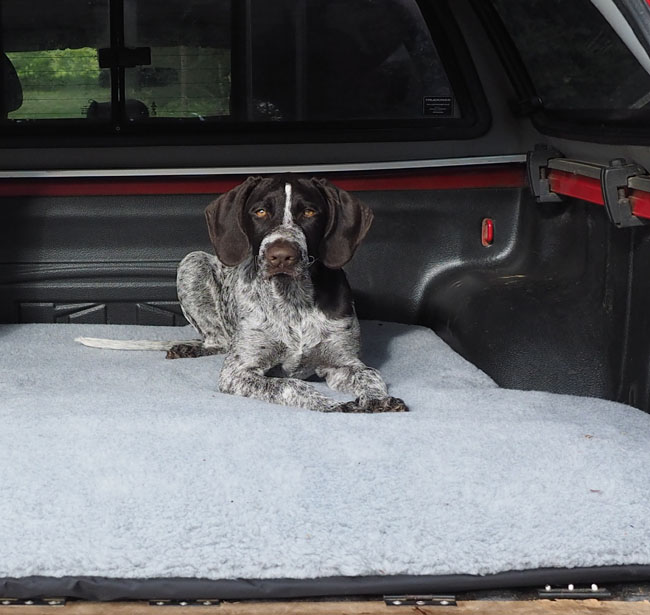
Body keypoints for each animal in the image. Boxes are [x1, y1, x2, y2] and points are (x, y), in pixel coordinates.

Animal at [77, 176, 404, 414]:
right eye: (260, 211)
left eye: (310, 212)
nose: (281, 256)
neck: (292, 299)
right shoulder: (238, 371)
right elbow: (291, 386)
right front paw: (333, 405)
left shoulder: (343, 364)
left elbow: (371, 375)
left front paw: (378, 399)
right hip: (192, 262)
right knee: (217, 340)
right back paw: (188, 347)